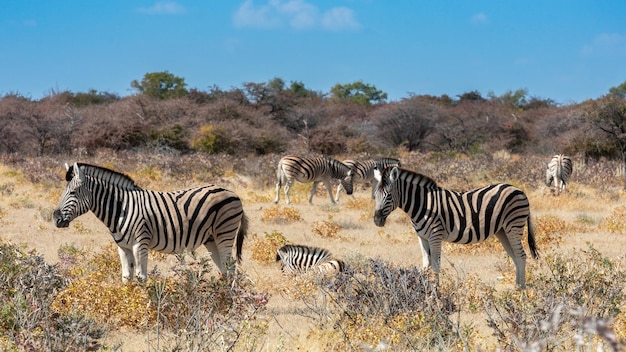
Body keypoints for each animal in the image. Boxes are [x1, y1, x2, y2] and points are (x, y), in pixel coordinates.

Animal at [53, 163, 249, 284]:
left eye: (73, 192)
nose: (56, 218)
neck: (121, 208)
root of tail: (233, 193)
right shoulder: (123, 247)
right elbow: (126, 277)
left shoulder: (140, 244)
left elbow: (141, 277)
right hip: (211, 239)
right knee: (224, 269)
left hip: (225, 233)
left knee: (231, 268)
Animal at [370, 166, 536, 288]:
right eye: (374, 195)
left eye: (389, 195)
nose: (377, 220)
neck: (423, 204)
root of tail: (519, 190)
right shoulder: (422, 237)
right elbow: (425, 264)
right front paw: (424, 289)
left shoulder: (435, 235)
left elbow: (436, 265)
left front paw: (435, 291)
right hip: (502, 231)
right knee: (515, 256)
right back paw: (516, 288)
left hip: (513, 225)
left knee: (521, 255)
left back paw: (521, 290)